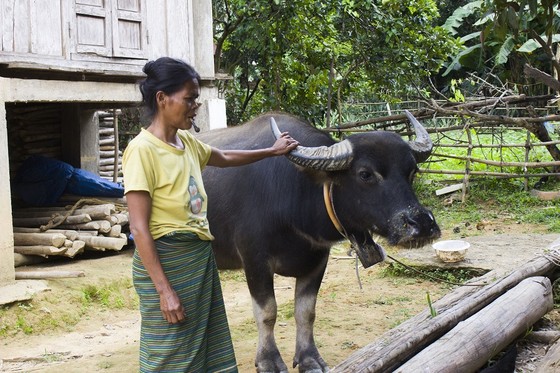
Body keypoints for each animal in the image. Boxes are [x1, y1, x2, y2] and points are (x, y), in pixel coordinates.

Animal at [199, 111, 440, 372]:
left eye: (412, 171)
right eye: (365, 174)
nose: (422, 224)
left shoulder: (318, 260)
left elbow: (306, 312)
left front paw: (309, 358)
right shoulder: (254, 260)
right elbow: (267, 312)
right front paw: (268, 360)